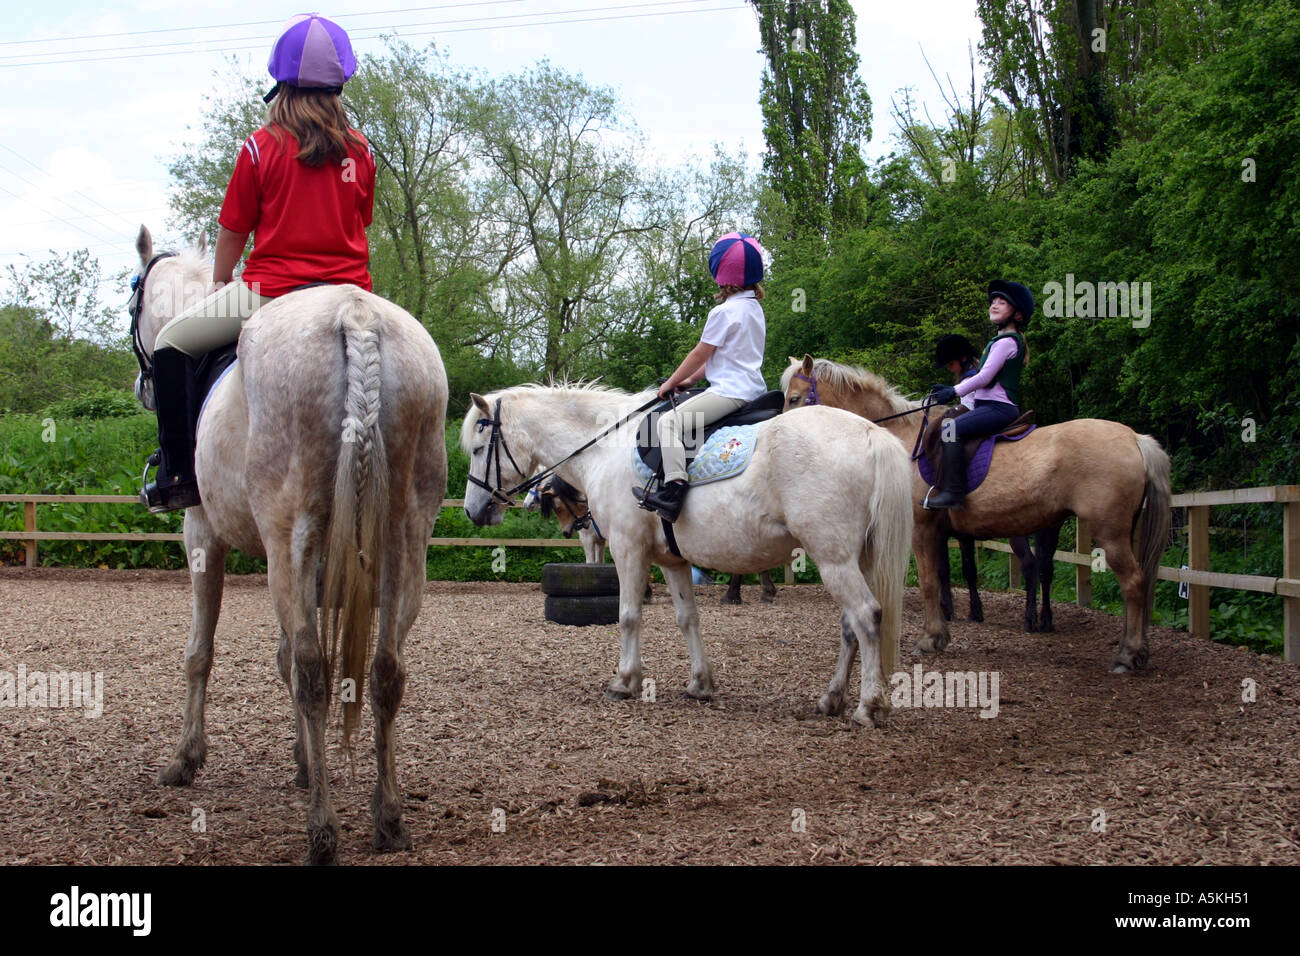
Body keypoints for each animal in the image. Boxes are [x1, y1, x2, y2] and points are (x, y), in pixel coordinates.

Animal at [131, 226, 447, 868]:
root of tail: (356, 315)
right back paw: (388, 818)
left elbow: (202, 652)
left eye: (133, 299)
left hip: (290, 539)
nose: (142, 387)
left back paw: (322, 832)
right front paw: (304, 762)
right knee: (386, 671)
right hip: (405, 539)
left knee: (311, 673)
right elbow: (281, 655)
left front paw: (185, 759)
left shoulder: (202, 534)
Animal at [457, 382, 915, 723]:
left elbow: (628, 615)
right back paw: (831, 699)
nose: (473, 511)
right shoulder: (672, 560)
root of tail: (871, 434)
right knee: (849, 626)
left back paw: (866, 706)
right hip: (856, 559)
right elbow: (687, 619)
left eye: (479, 449)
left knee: (867, 616)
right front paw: (700, 683)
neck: (605, 447)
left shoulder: (627, 548)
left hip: (833, 559)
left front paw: (625, 680)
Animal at [785, 353, 1175, 671]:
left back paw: (1127, 654)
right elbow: (940, 578)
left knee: (1133, 582)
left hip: (1108, 532)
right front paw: (941, 632)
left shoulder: (922, 529)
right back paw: (1133, 648)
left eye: (794, 398)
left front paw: (931, 638)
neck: (900, 436)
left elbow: (929, 581)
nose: (783, 434)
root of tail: (1135, 438)